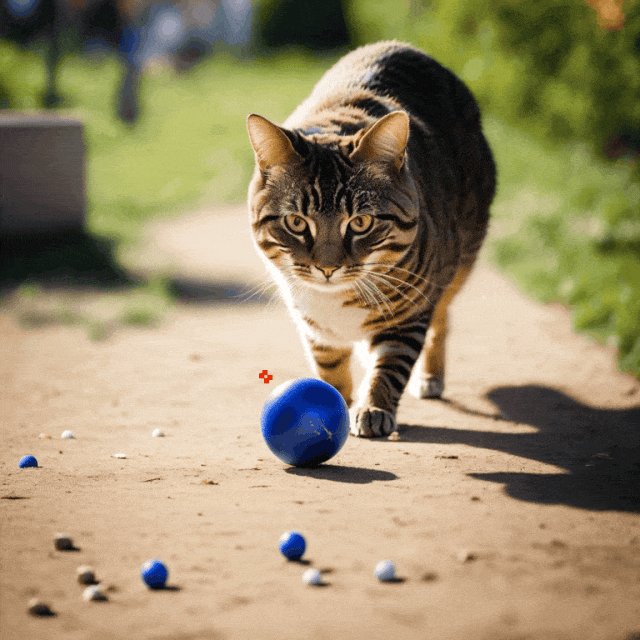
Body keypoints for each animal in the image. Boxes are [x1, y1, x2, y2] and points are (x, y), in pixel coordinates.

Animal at [245, 40, 496, 438]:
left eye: (360, 222)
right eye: (296, 222)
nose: (327, 268)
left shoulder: (409, 311)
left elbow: (391, 365)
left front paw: (374, 408)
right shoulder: (312, 324)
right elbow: (329, 365)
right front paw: (335, 402)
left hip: (458, 260)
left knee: (442, 318)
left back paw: (430, 375)